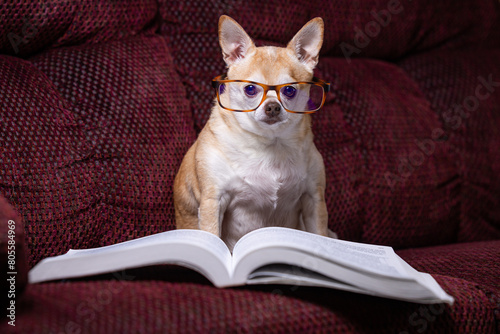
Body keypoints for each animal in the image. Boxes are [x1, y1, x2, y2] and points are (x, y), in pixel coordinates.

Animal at [174, 15, 334, 250]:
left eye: (289, 90)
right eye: (250, 89)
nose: (273, 107)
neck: (270, 143)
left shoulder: (314, 200)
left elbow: (319, 236)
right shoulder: (213, 202)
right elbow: (213, 236)